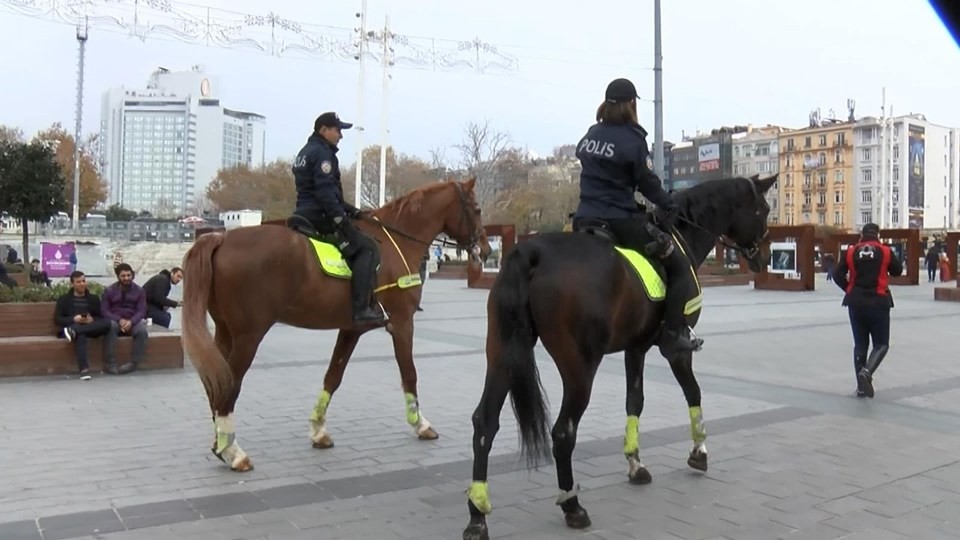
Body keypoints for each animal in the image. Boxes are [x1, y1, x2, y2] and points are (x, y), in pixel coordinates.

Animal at [182, 178, 488, 472]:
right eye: (476, 209)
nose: (483, 250)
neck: (397, 244)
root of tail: (221, 238)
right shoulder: (402, 323)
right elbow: (409, 374)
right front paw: (420, 423)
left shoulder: (352, 329)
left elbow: (333, 376)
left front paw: (318, 430)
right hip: (248, 336)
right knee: (229, 386)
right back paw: (233, 452)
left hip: (226, 334)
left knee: (216, 384)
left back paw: (221, 443)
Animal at [462, 174, 776, 540]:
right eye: (763, 209)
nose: (764, 256)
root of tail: (531, 251)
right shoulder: (675, 352)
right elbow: (693, 392)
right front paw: (699, 451)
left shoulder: (635, 347)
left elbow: (634, 401)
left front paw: (635, 463)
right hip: (579, 367)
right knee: (563, 432)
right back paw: (572, 505)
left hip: (503, 355)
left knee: (485, 423)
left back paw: (477, 513)